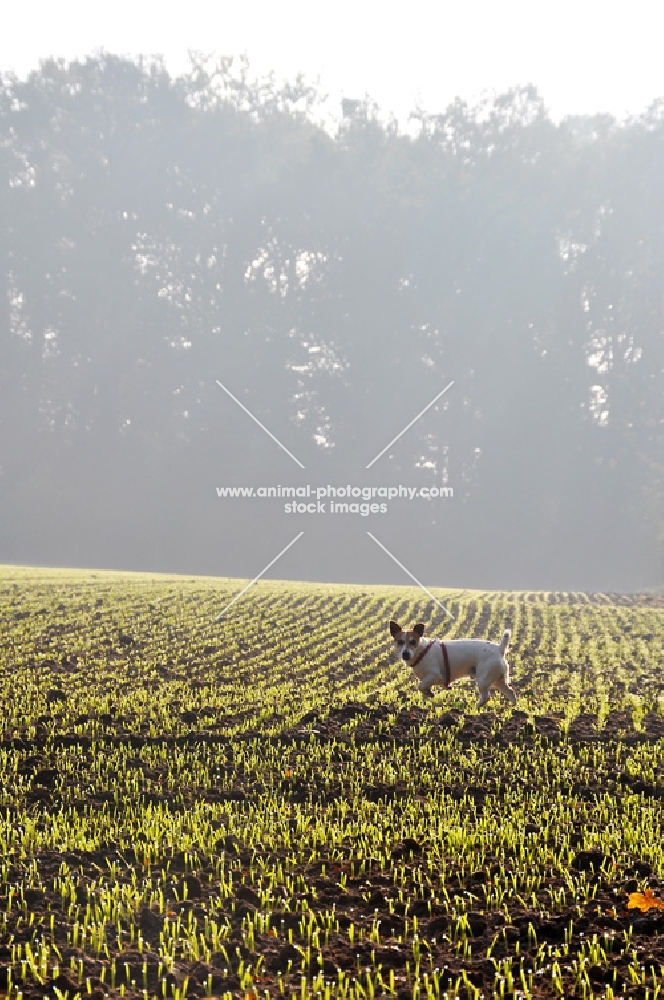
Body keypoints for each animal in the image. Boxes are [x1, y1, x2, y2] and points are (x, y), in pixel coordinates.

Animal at [390, 620, 520, 708]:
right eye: (400, 642)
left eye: (413, 642)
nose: (405, 654)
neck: (421, 651)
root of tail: (499, 649)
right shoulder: (427, 679)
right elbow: (424, 688)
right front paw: (429, 694)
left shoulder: (435, 675)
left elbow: (420, 686)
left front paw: (429, 693)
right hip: (499, 681)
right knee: (511, 692)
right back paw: (514, 709)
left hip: (483, 679)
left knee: (486, 697)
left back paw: (475, 707)